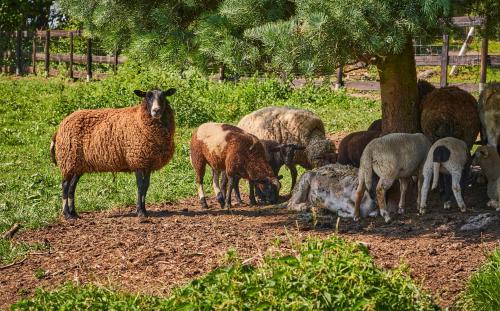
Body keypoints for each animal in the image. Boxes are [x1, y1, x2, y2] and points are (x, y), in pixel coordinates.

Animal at [50, 88, 178, 219]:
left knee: (72, 187)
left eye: (163, 96)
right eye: (148, 96)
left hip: (77, 164)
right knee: (65, 185)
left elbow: (146, 186)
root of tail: (59, 128)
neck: (139, 119)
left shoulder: (148, 163)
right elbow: (140, 186)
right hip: (68, 160)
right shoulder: (136, 160)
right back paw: (67, 214)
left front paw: (144, 210)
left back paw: (74, 213)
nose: (156, 111)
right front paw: (140, 211)